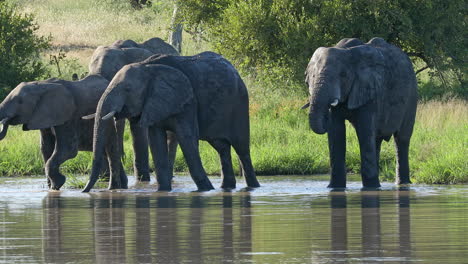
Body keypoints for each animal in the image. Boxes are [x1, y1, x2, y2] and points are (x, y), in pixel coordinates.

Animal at [82, 52, 262, 192]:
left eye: (127, 89)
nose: (84, 190)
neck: (146, 67)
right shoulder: (153, 103)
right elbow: (156, 142)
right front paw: (163, 191)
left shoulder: (187, 101)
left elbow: (187, 139)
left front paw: (205, 190)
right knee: (222, 147)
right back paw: (227, 187)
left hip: (239, 102)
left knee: (241, 148)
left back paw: (253, 187)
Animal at [304, 38, 416, 189]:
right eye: (312, 76)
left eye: (343, 75)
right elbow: (336, 132)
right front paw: (335, 188)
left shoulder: (370, 89)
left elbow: (364, 131)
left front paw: (370, 188)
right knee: (376, 140)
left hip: (412, 96)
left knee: (401, 139)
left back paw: (402, 184)